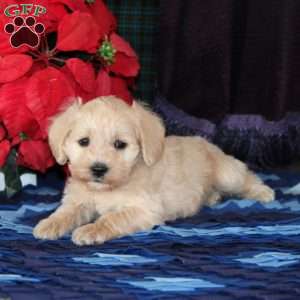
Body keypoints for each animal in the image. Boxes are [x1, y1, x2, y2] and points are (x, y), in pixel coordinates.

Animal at [32, 96, 274, 246]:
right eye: (84, 141)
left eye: (120, 144)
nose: (98, 169)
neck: (107, 189)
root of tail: (206, 142)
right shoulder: (77, 202)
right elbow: (64, 213)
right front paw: (48, 225)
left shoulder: (144, 210)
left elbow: (111, 218)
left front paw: (89, 230)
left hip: (228, 175)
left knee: (246, 177)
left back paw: (264, 193)